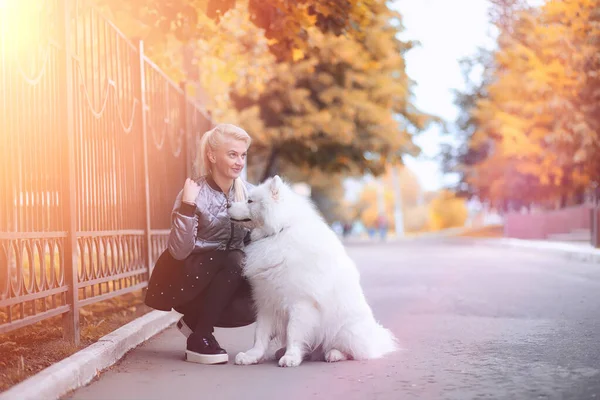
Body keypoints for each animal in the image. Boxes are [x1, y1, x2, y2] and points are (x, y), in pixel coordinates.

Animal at [229, 177, 398, 368]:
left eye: (250, 201)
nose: (228, 204)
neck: (279, 232)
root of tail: (375, 339)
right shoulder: (266, 301)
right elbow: (260, 334)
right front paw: (252, 356)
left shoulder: (300, 302)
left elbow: (293, 332)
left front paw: (291, 357)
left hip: (343, 329)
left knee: (352, 351)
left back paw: (334, 354)